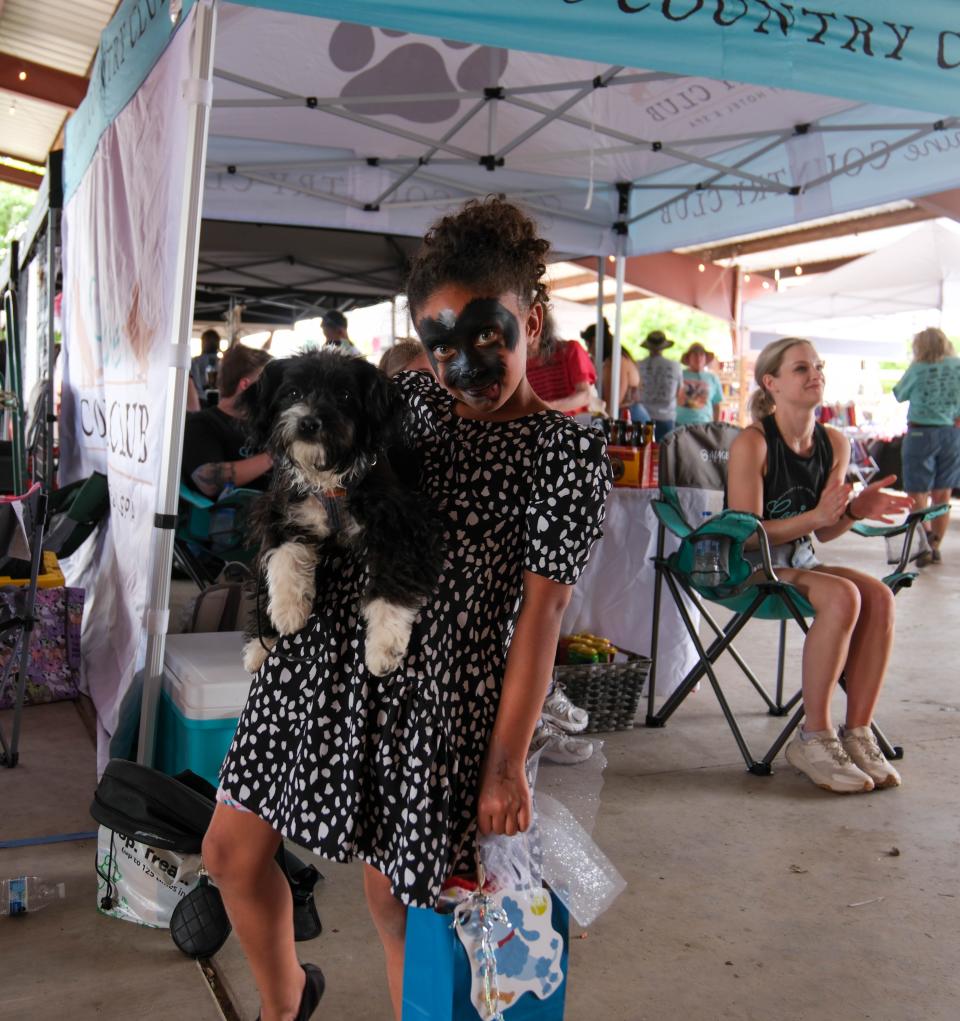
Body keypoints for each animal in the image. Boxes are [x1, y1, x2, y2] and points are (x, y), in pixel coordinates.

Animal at [244, 349, 445, 677]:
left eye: (345, 395)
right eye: (293, 393)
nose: (308, 422)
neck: (328, 480)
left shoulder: (402, 526)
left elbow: (391, 585)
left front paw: (383, 649)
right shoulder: (278, 510)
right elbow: (283, 553)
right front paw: (288, 610)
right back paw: (258, 648)